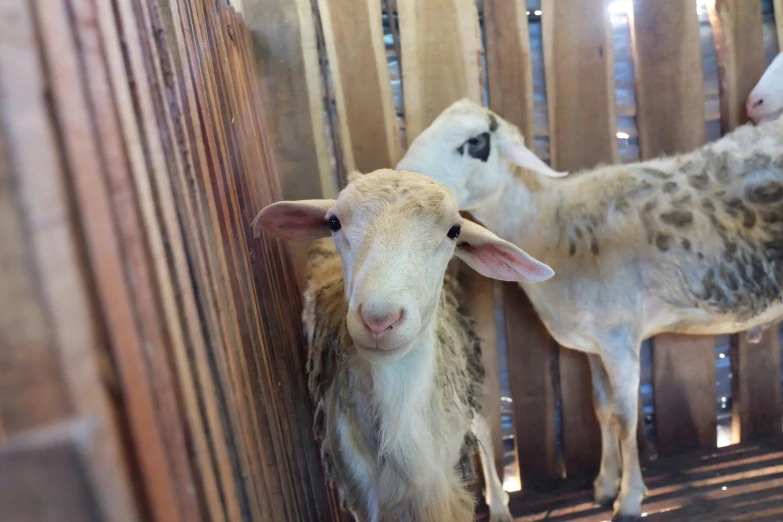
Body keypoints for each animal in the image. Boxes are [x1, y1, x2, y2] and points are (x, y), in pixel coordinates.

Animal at [396, 96, 783, 516]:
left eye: (476, 142)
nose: (402, 182)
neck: (551, 222)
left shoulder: (619, 338)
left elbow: (625, 418)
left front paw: (628, 499)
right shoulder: (594, 343)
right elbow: (601, 409)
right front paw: (604, 485)